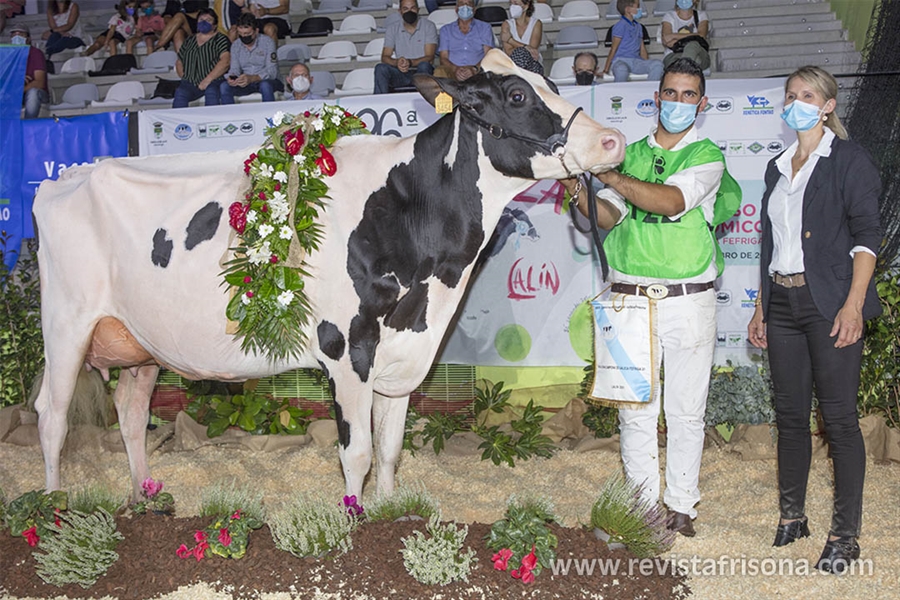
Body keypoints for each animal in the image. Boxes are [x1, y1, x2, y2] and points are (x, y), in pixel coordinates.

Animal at [31, 50, 624, 502]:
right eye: (518, 96)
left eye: (551, 83)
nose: (612, 140)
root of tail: (67, 177)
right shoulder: (347, 346)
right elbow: (356, 452)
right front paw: (353, 519)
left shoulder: (404, 350)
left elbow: (390, 448)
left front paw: (388, 511)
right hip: (66, 325)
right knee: (51, 415)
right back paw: (53, 508)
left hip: (140, 344)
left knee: (131, 414)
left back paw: (142, 495)